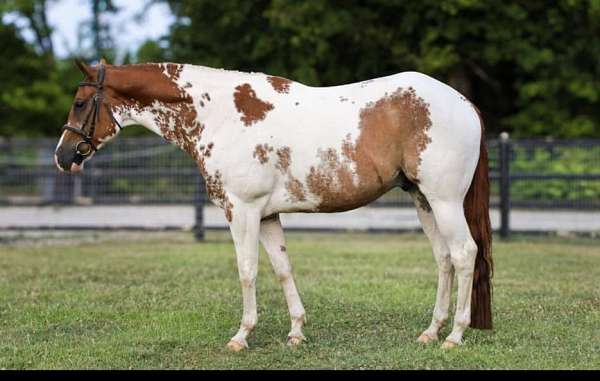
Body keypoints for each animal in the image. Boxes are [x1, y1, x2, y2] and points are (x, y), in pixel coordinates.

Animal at [54, 58, 492, 350]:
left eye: (80, 103)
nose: (63, 156)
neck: (220, 114)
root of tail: (465, 104)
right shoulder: (267, 215)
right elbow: (282, 269)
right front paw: (296, 332)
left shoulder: (242, 210)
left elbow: (247, 271)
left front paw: (241, 336)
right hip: (422, 200)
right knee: (444, 259)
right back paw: (431, 331)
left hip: (444, 200)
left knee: (464, 253)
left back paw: (454, 335)